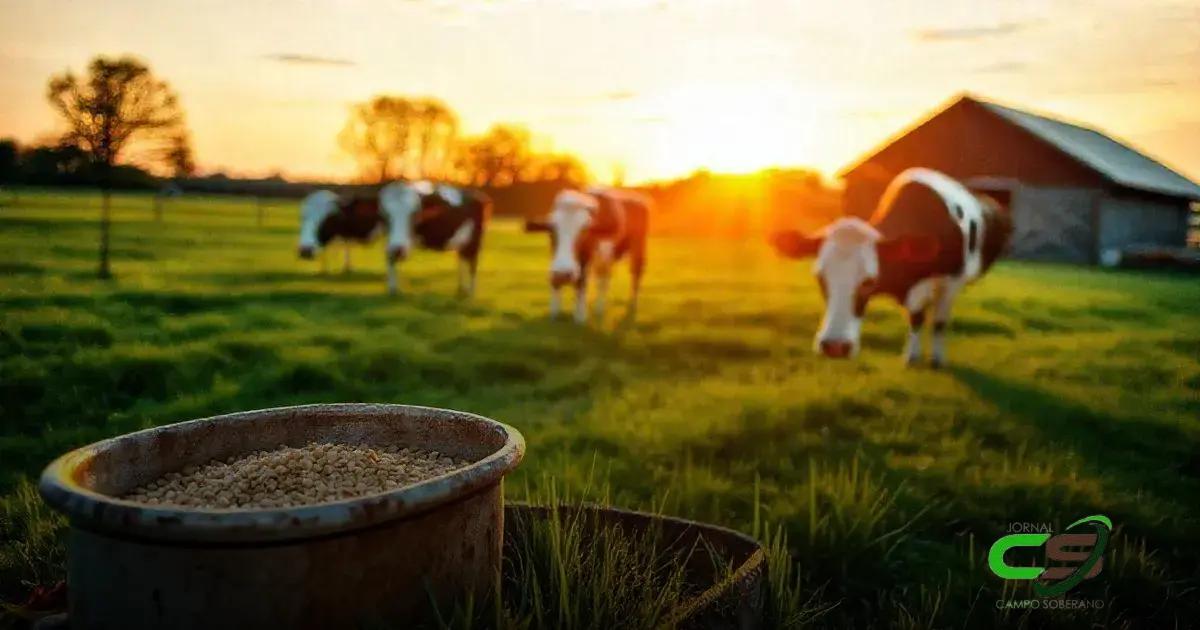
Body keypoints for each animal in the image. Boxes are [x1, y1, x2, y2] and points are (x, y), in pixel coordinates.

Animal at [297, 180, 489, 296]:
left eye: (415, 214)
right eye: (303, 216)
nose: (305, 250)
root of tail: (477, 195)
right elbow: (388, 259)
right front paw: (392, 289)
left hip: (475, 241)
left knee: (472, 264)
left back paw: (470, 294)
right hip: (462, 242)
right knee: (462, 259)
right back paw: (461, 289)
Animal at [525, 186, 652, 324]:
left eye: (584, 232)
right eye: (550, 231)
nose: (563, 275)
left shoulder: (586, 259)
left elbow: (582, 282)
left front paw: (580, 317)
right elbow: (556, 283)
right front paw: (554, 313)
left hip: (638, 247)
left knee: (636, 273)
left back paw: (632, 305)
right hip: (606, 257)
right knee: (604, 279)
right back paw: (599, 308)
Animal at [768, 166, 1012, 364]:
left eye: (869, 282)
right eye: (820, 278)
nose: (834, 347)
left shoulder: (952, 279)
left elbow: (938, 322)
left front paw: (936, 358)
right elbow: (916, 318)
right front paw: (912, 355)